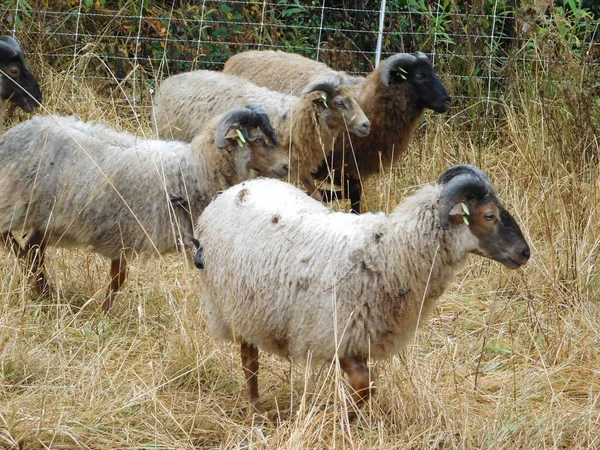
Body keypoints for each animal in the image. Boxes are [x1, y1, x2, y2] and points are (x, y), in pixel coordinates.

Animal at [0, 106, 290, 312]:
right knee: (15, 244)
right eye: (258, 140)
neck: (192, 171)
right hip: (16, 203)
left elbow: (117, 278)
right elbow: (118, 278)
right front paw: (104, 313)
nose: (286, 166)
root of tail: (13, 134)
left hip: (47, 218)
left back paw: (44, 291)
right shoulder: (125, 230)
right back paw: (37, 283)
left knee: (33, 252)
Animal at [152, 70, 368, 200]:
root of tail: (169, 81)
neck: (293, 117)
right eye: (339, 103)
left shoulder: (293, 166)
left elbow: (316, 195)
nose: (366, 124)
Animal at [195, 163, 532, 414]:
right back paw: (255, 409)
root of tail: (236, 188)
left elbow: (366, 385)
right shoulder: (337, 331)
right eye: (489, 215)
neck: (390, 253)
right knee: (249, 360)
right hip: (235, 305)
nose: (525, 252)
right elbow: (365, 384)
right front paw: (341, 416)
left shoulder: (361, 336)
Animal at [224, 50, 450, 212]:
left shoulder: (352, 165)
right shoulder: (327, 165)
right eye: (419, 76)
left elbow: (355, 194)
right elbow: (349, 192)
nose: (447, 101)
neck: (368, 102)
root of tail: (237, 57)